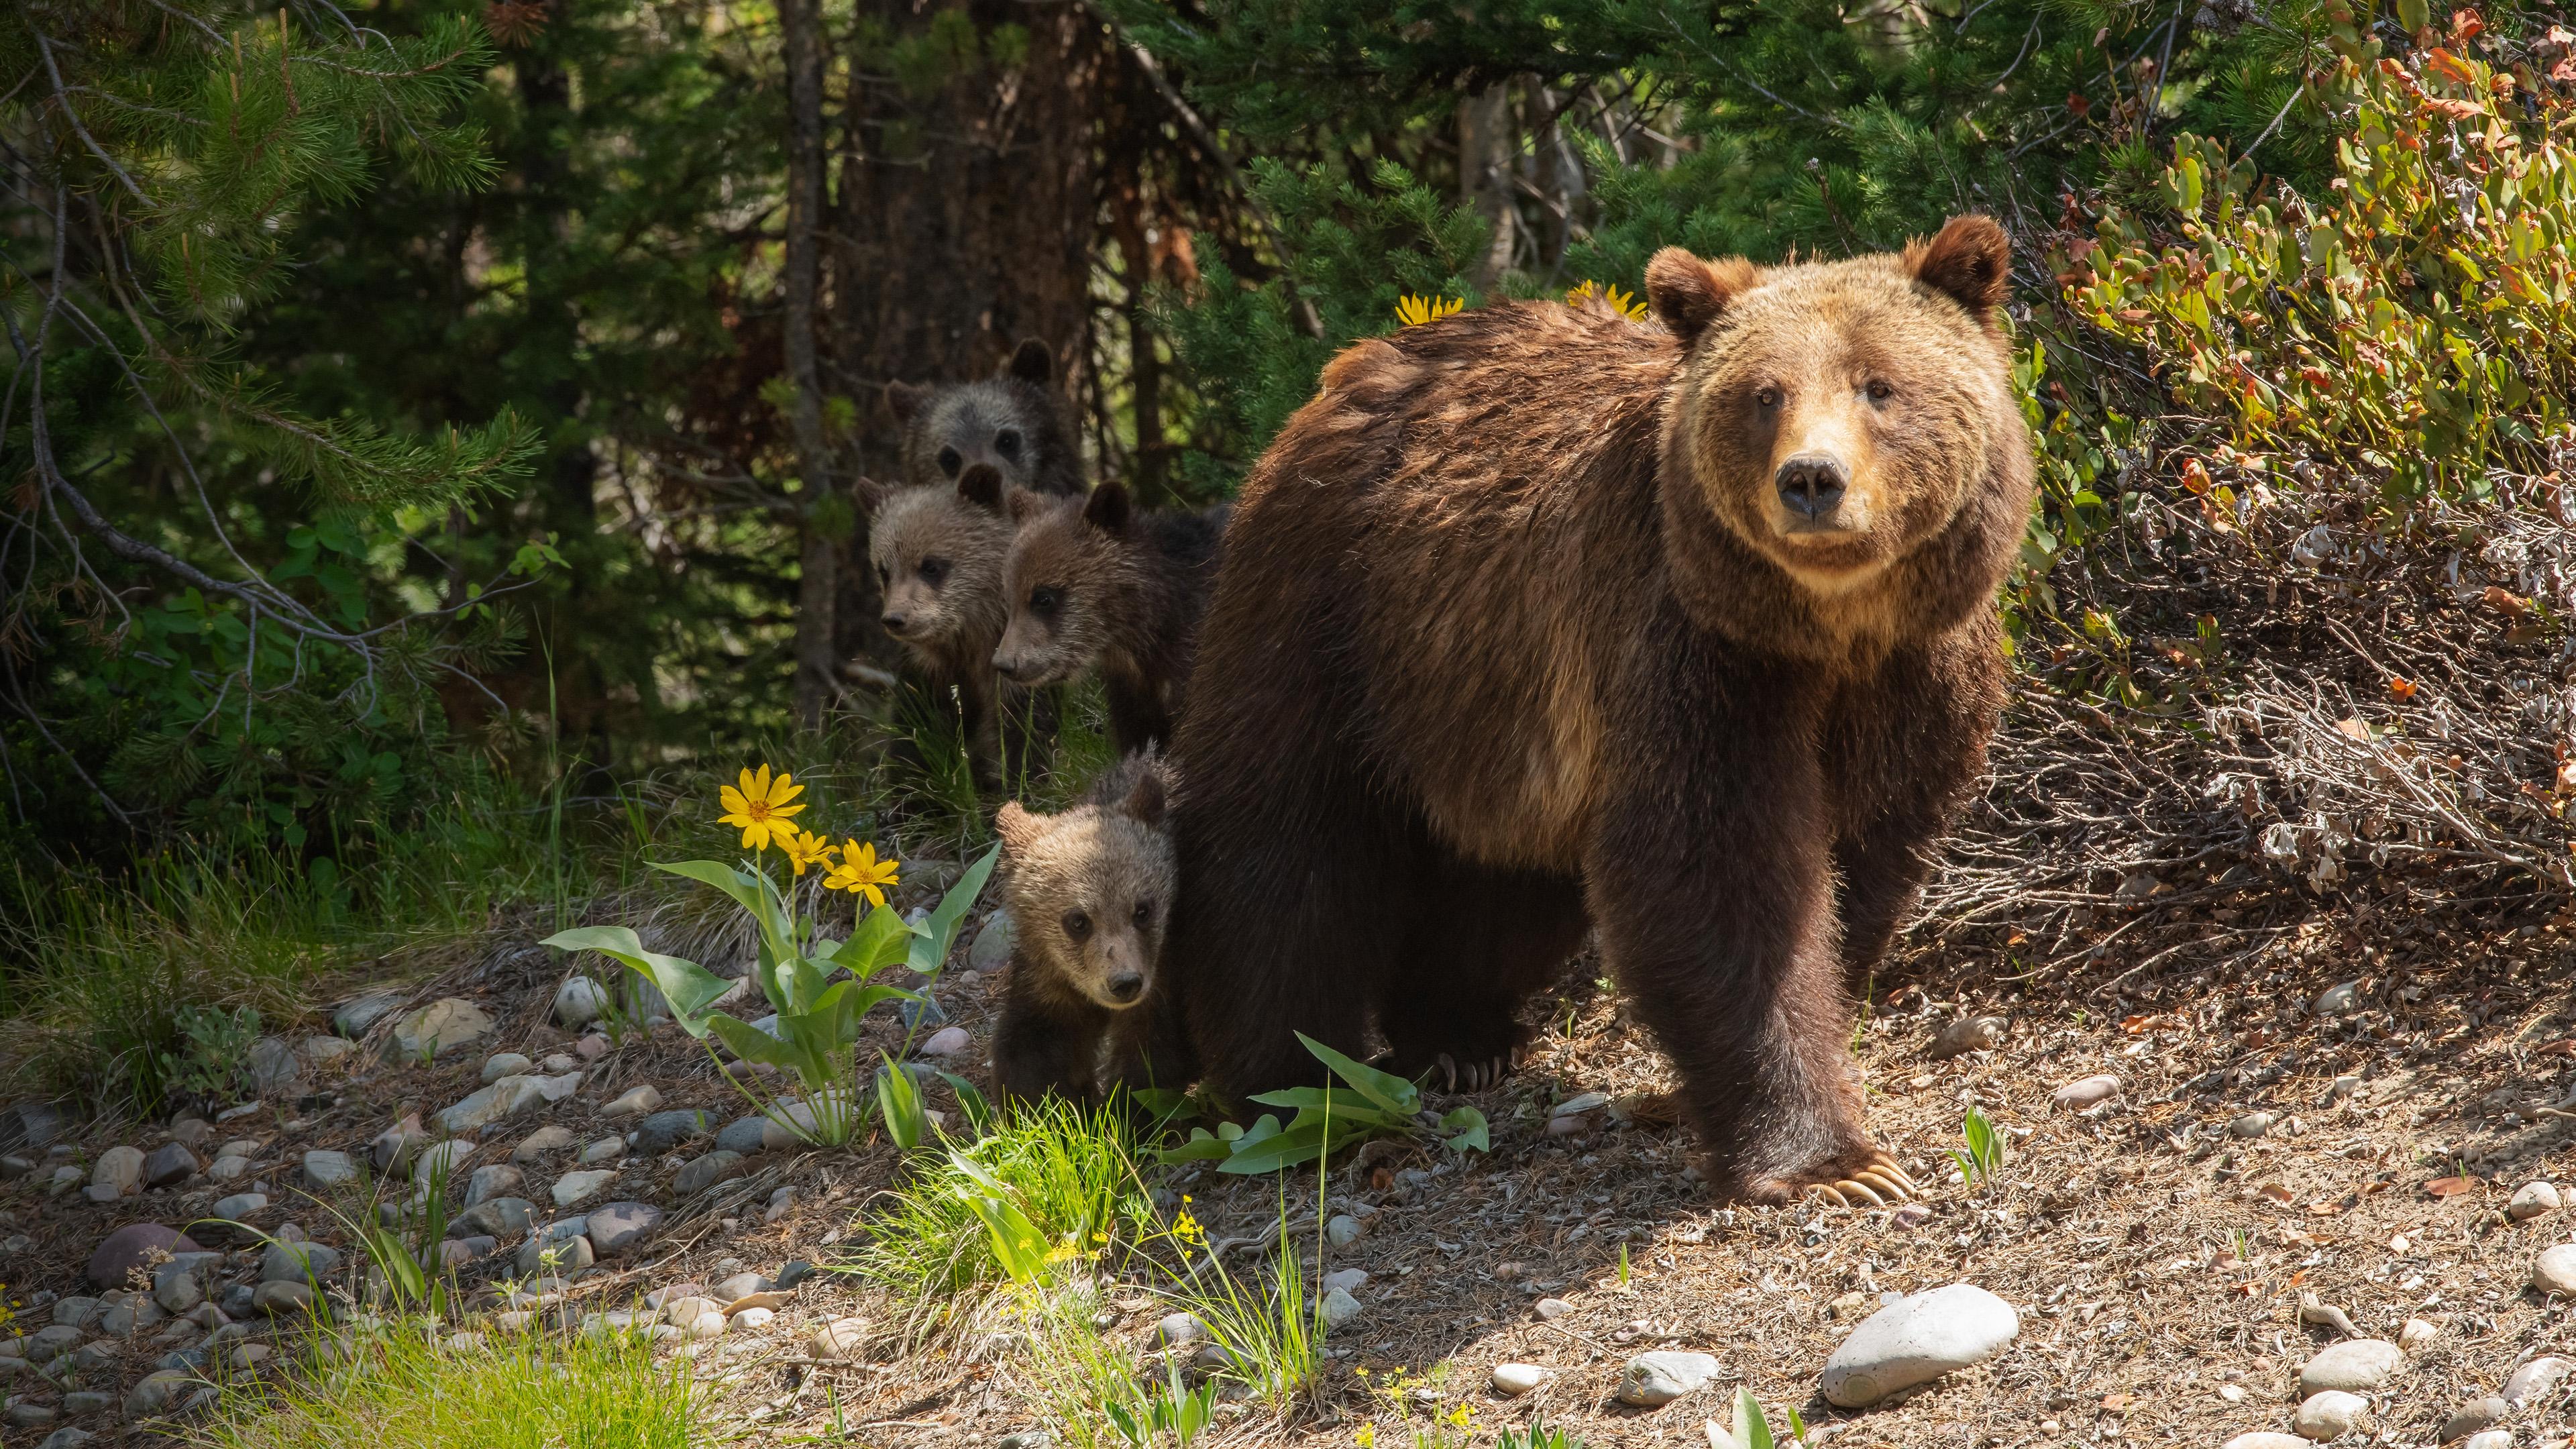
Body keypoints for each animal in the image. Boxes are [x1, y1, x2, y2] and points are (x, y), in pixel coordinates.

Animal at [988, 751, 1195, 1106]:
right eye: (1078, 920)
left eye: (1143, 909)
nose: (1125, 983)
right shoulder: (1048, 982)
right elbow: (1032, 1050)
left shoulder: (1163, 979)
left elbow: (1152, 1062)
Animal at [1159, 215, 2031, 1206]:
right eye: (1764, 395)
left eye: (1879, 385)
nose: (1813, 480)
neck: (1829, 629)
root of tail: (1349, 369)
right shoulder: (1692, 653)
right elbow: (1717, 871)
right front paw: (1833, 1162)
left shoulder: (1914, 675)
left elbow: (1865, 856)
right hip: (1333, 619)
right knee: (1283, 847)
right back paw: (1290, 1089)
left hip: (1491, 708)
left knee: (1506, 884)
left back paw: (1457, 1035)